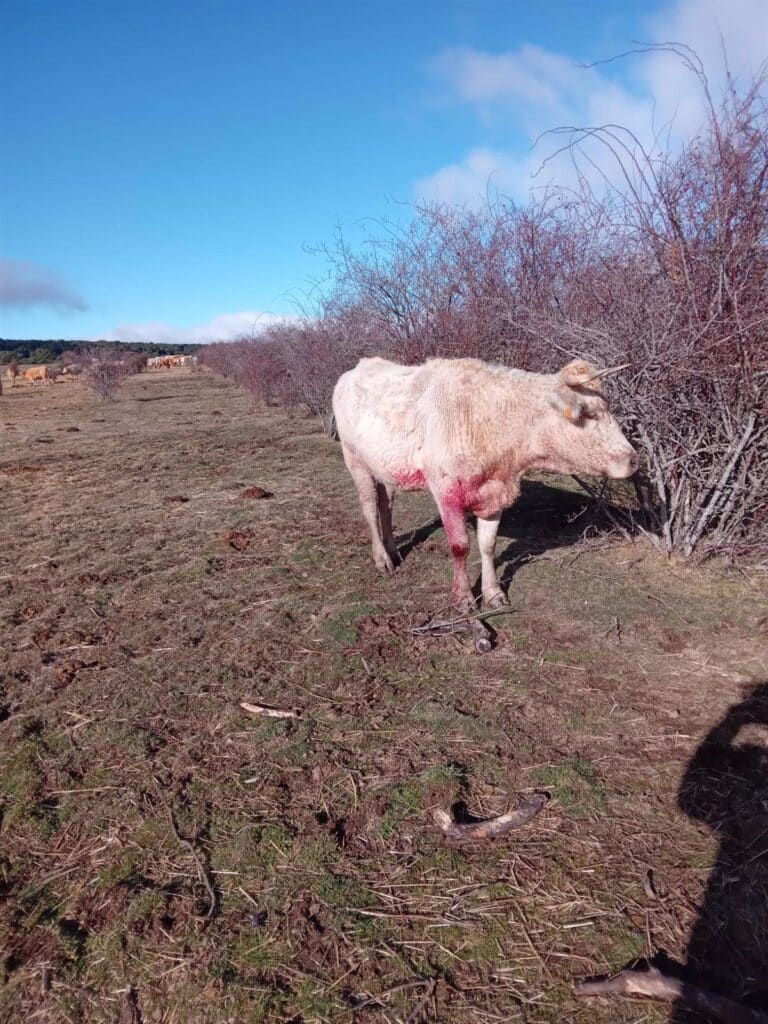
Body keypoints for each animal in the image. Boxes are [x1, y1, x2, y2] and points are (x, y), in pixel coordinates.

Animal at [333, 356, 638, 610]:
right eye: (590, 413)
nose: (634, 459)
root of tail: (359, 366)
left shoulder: (494, 492)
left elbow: (488, 544)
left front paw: (493, 593)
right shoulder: (447, 492)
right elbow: (460, 547)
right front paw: (464, 598)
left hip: (384, 467)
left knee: (386, 506)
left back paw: (393, 549)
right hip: (354, 459)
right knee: (370, 509)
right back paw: (382, 558)